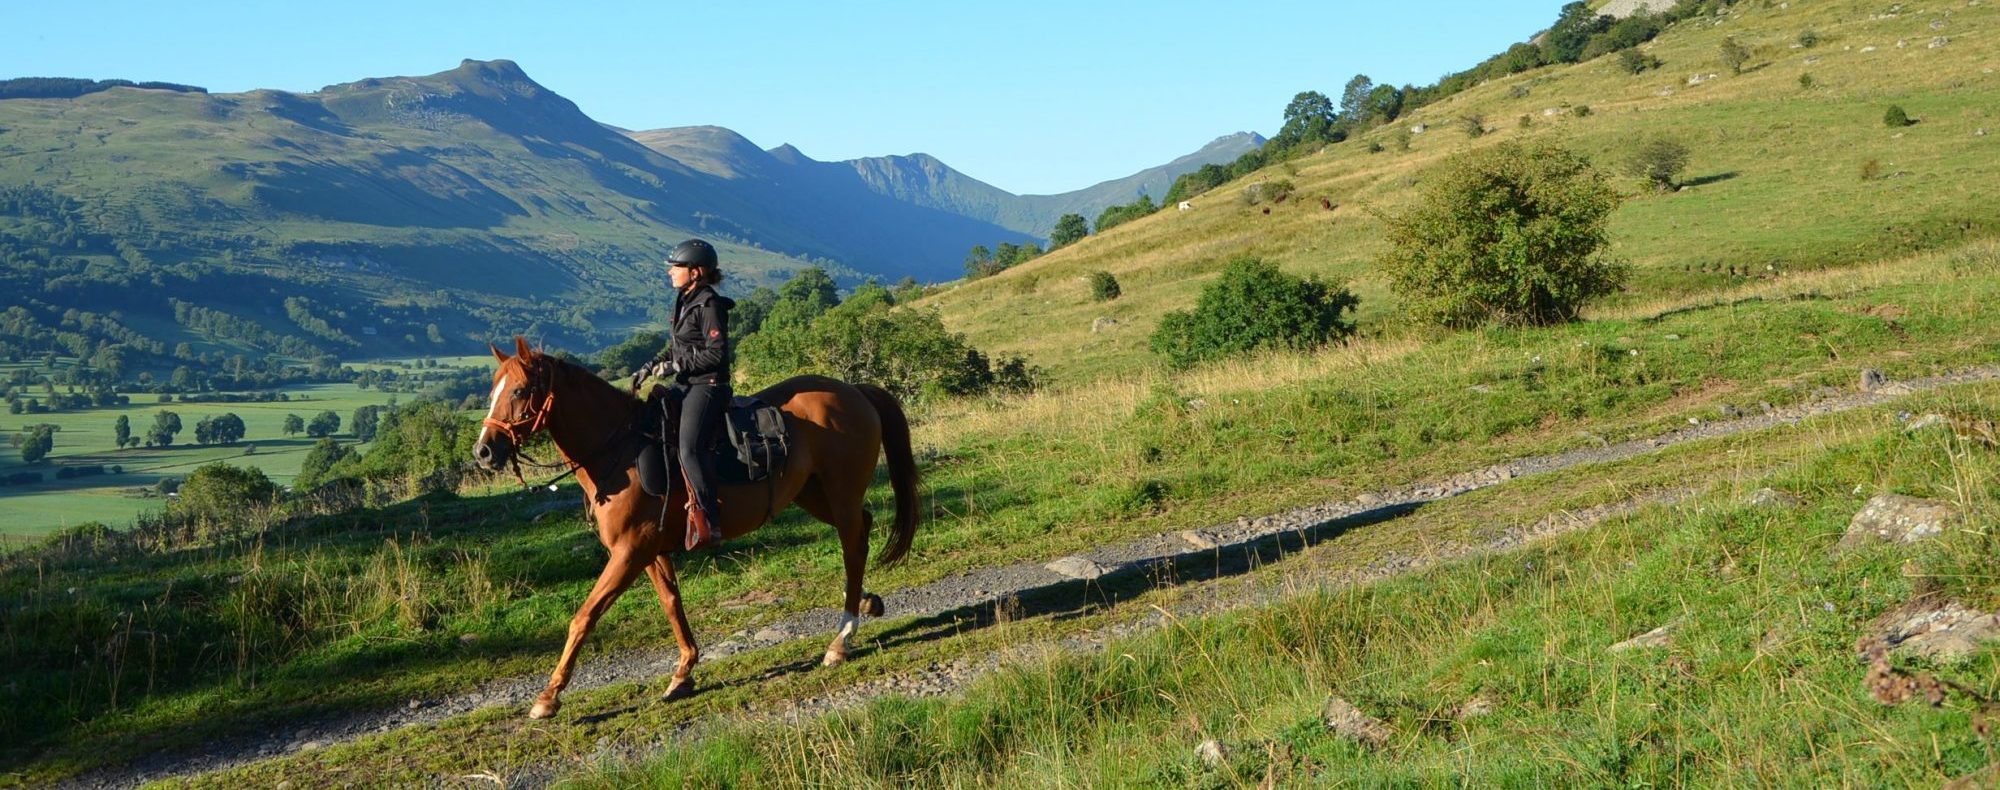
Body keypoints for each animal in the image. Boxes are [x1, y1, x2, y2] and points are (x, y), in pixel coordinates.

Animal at [476, 338, 920, 720]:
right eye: (493, 391)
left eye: (519, 391)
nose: (484, 451)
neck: (621, 454)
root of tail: (854, 392)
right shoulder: (649, 551)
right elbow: (672, 605)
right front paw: (683, 672)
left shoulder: (628, 553)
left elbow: (584, 617)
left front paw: (548, 697)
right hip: (812, 494)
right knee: (861, 529)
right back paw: (866, 603)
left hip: (839, 494)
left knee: (853, 548)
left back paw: (841, 639)